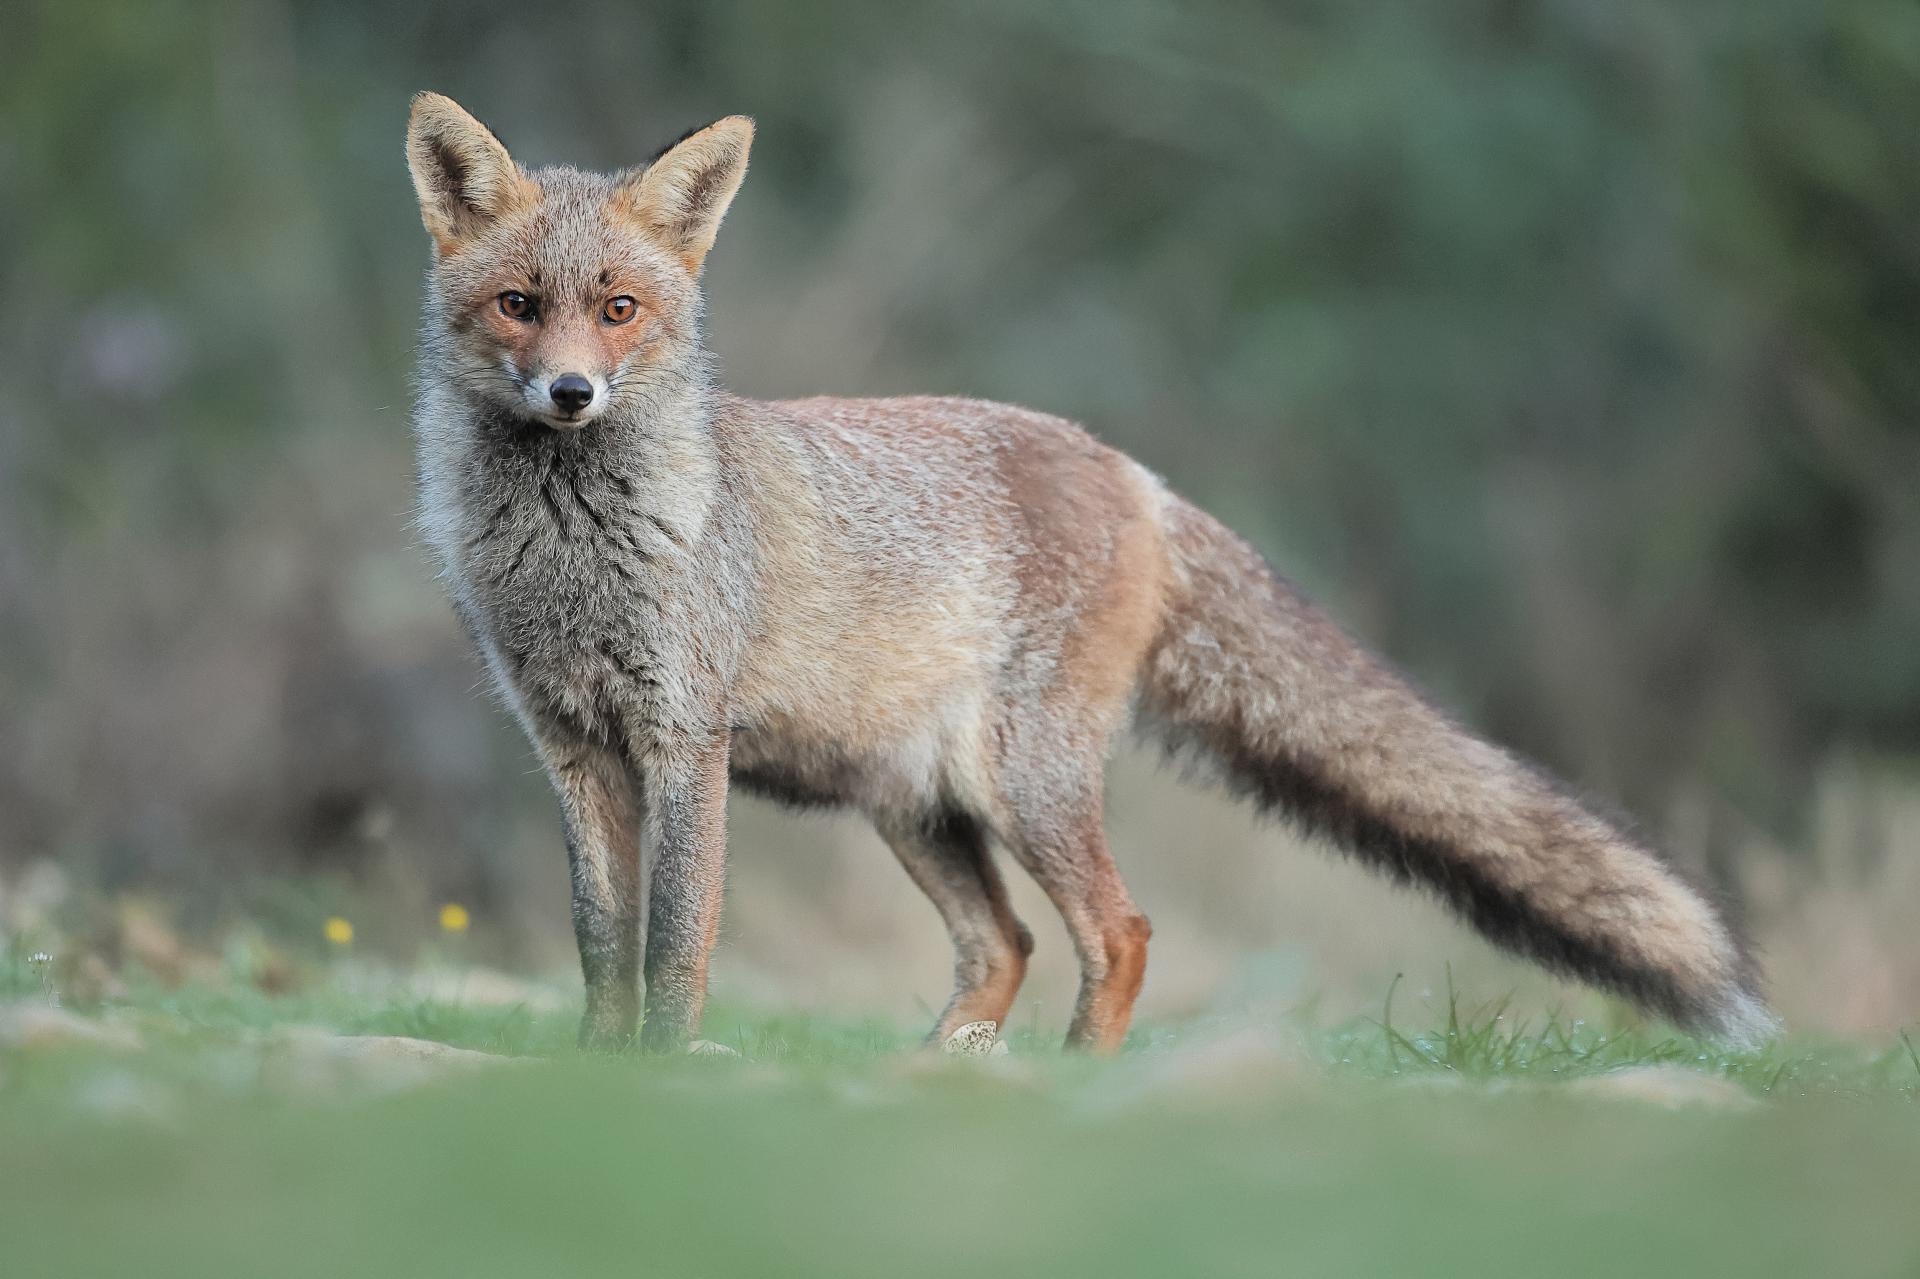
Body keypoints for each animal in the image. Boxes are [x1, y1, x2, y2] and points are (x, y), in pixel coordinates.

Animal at [404, 91, 1777, 1055]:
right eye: (520, 304)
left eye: (620, 310)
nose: (570, 393)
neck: (570, 556)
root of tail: (1130, 469)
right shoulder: (572, 746)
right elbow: (600, 942)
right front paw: (593, 1078)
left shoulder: (684, 741)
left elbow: (675, 943)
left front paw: (663, 1076)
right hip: (917, 800)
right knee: (1004, 944)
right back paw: (934, 1072)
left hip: (1027, 780)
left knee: (1117, 932)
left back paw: (1075, 1083)